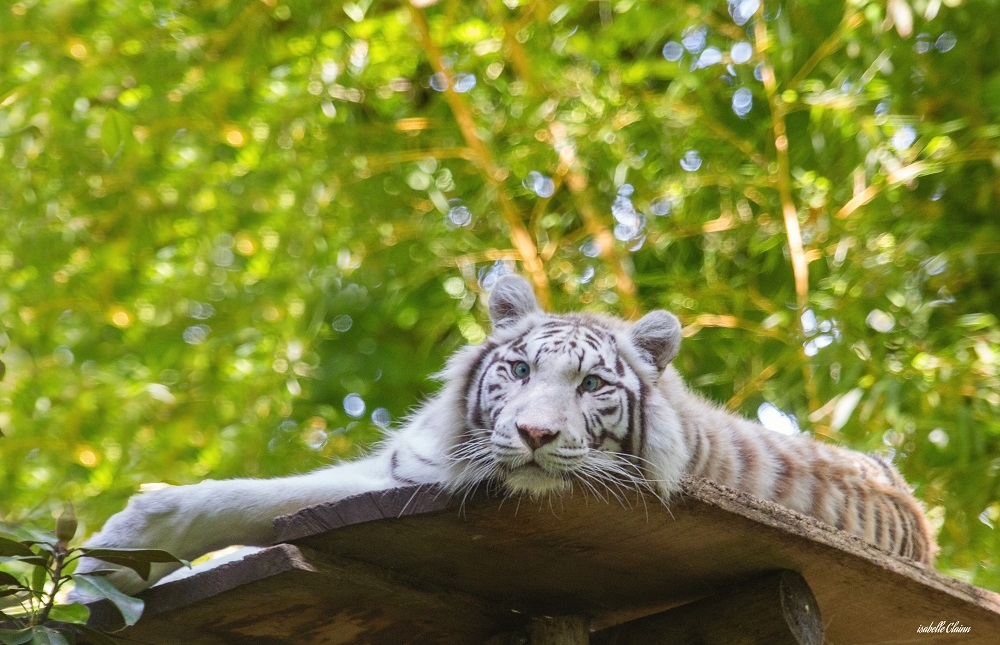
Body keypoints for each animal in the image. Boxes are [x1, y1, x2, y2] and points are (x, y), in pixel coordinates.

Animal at [78, 274, 936, 593]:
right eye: (519, 368)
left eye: (592, 385)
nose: (532, 431)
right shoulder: (405, 461)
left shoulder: (410, 482)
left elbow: (257, 502)